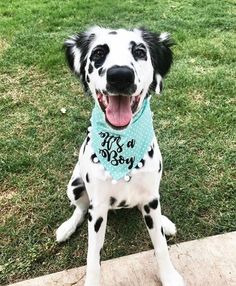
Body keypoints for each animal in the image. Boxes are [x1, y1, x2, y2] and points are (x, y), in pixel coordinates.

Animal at [56, 26, 184, 286]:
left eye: (139, 51)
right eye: (98, 53)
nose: (120, 76)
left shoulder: (150, 199)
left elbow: (161, 246)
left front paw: (169, 277)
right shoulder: (98, 209)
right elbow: (92, 257)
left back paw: (165, 222)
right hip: (74, 186)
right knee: (79, 210)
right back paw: (66, 227)